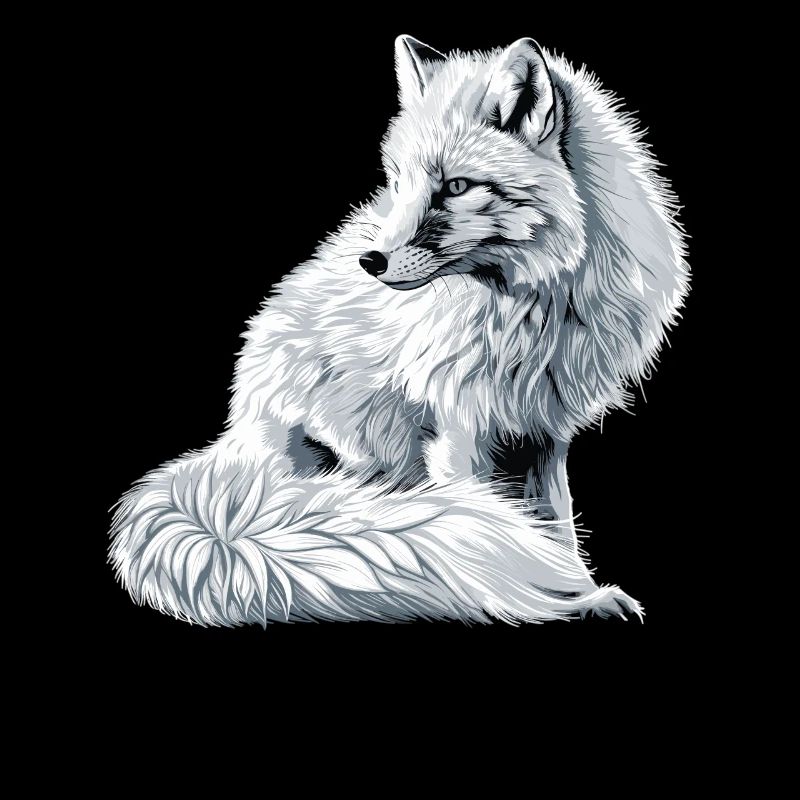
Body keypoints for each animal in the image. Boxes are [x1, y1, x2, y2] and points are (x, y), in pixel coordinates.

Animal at [110, 36, 689, 626]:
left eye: (456, 186)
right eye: (397, 184)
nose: (371, 261)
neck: (529, 312)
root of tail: (231, 440)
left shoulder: (543, 433)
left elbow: (557, 529)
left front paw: (582, 593)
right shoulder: (459, 427)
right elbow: (491, 520)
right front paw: (555, 596)